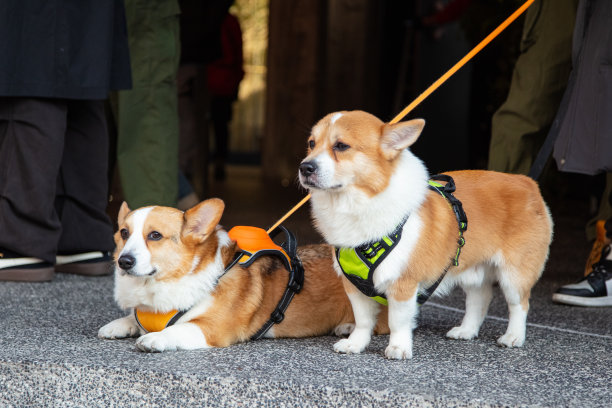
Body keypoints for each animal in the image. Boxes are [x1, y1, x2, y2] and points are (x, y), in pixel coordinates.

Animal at [99, 199, 388, 352]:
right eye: (124, 233)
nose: (124, 261)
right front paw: (119, 325)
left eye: (155, 235)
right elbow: (133, 318)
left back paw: (348, 326)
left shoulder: (211, 329)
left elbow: (177, 329)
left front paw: (155, 338)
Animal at [298, 110, 556, 358]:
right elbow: (362, 320)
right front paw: (355, 344)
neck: (357, 203)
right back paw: (466, 330)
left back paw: (513, 336)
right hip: (474, 269)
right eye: (311, 143)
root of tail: (527, 182)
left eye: (341, 146)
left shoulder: (403, 283)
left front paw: (398, 348)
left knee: (519, 304)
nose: (305, 167)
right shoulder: (354, 285)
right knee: (479, 299)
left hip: (514, 273)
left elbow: (398, 321)